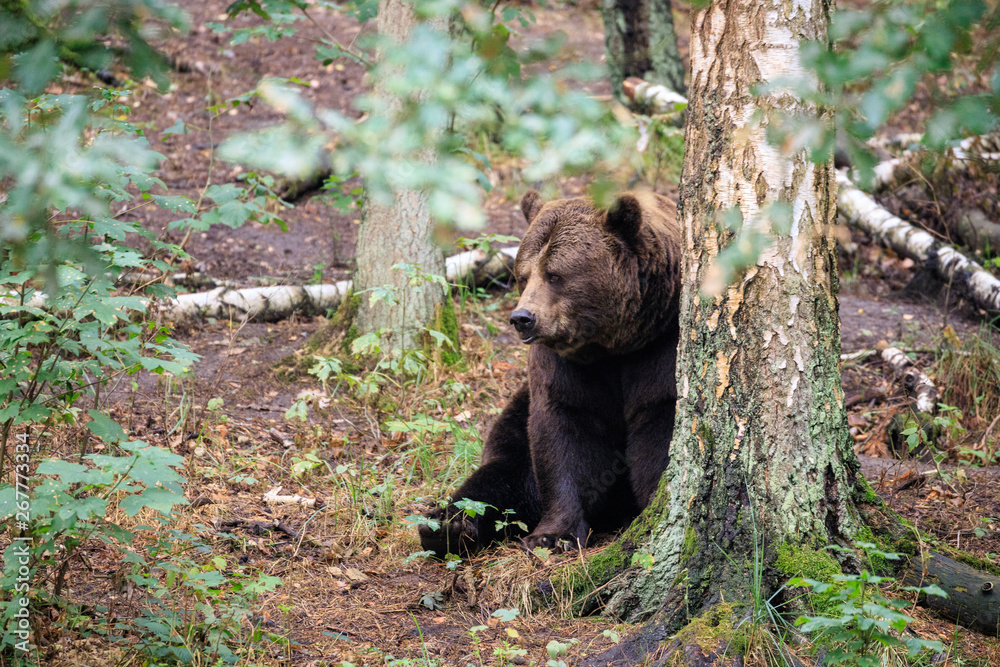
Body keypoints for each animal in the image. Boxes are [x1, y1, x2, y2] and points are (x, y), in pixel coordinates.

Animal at [418, 189, 681, 555]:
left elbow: (659, 427)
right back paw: (447, 524)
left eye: (555, 275)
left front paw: (651, 510)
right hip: (516, 410)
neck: (613, 346)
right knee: (504, 468)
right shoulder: (564, 366)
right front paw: (555, 534)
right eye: (524, 275)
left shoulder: (659, 349)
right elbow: (563, 433)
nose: (522, 318)